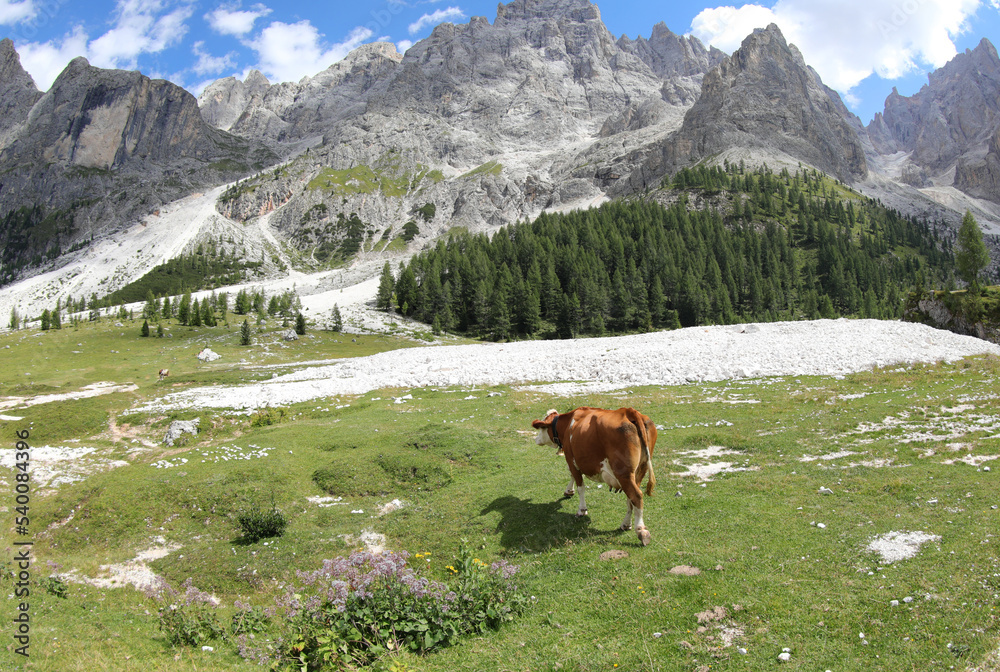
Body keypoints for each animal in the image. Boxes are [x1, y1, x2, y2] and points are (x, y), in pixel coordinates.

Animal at [532, 406, 656, 544]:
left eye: (542, 427)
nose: (536, 439)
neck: (568, 424)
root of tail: (628, 411)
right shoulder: (574, 460)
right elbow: (572, 476)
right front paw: (569, 491)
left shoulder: (570, 458)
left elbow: (580, 486)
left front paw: (581, 509)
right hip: (640, 470)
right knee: (631, 499)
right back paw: (626, 524)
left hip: (624, 474)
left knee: (636, 496)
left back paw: (641, 530)